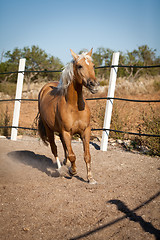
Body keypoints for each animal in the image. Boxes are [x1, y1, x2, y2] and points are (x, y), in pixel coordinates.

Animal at [37, 48, 99, 184]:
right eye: (80, 66)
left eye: (93, 66)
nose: (94, 85)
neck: (74, 107)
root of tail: (44, 88)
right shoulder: (66, 132)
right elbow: (72, 155)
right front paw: (72, 171)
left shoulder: (85, 131)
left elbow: (87, 155)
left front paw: (90, 178)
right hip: (49, 129)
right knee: (54, 148)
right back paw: (60, 169)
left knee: (64, 146)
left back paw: (65, 163)